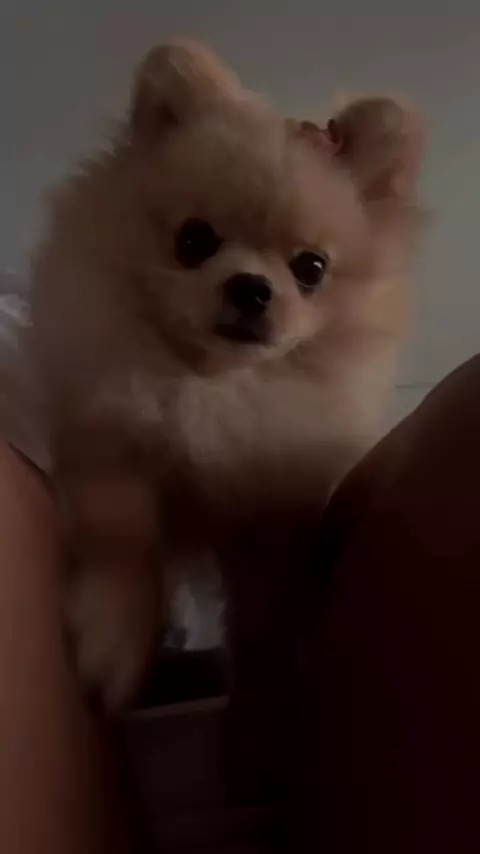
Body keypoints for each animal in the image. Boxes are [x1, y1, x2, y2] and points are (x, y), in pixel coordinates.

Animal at [31, 41, 424, 732]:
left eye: (311, 267)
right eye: (194, 240)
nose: (251, 288)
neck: (214, 389)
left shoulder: (268, 514)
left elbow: (266, 613)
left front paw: (264, 706)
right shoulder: (111, 443)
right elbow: (122, 539)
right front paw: (114, 639)